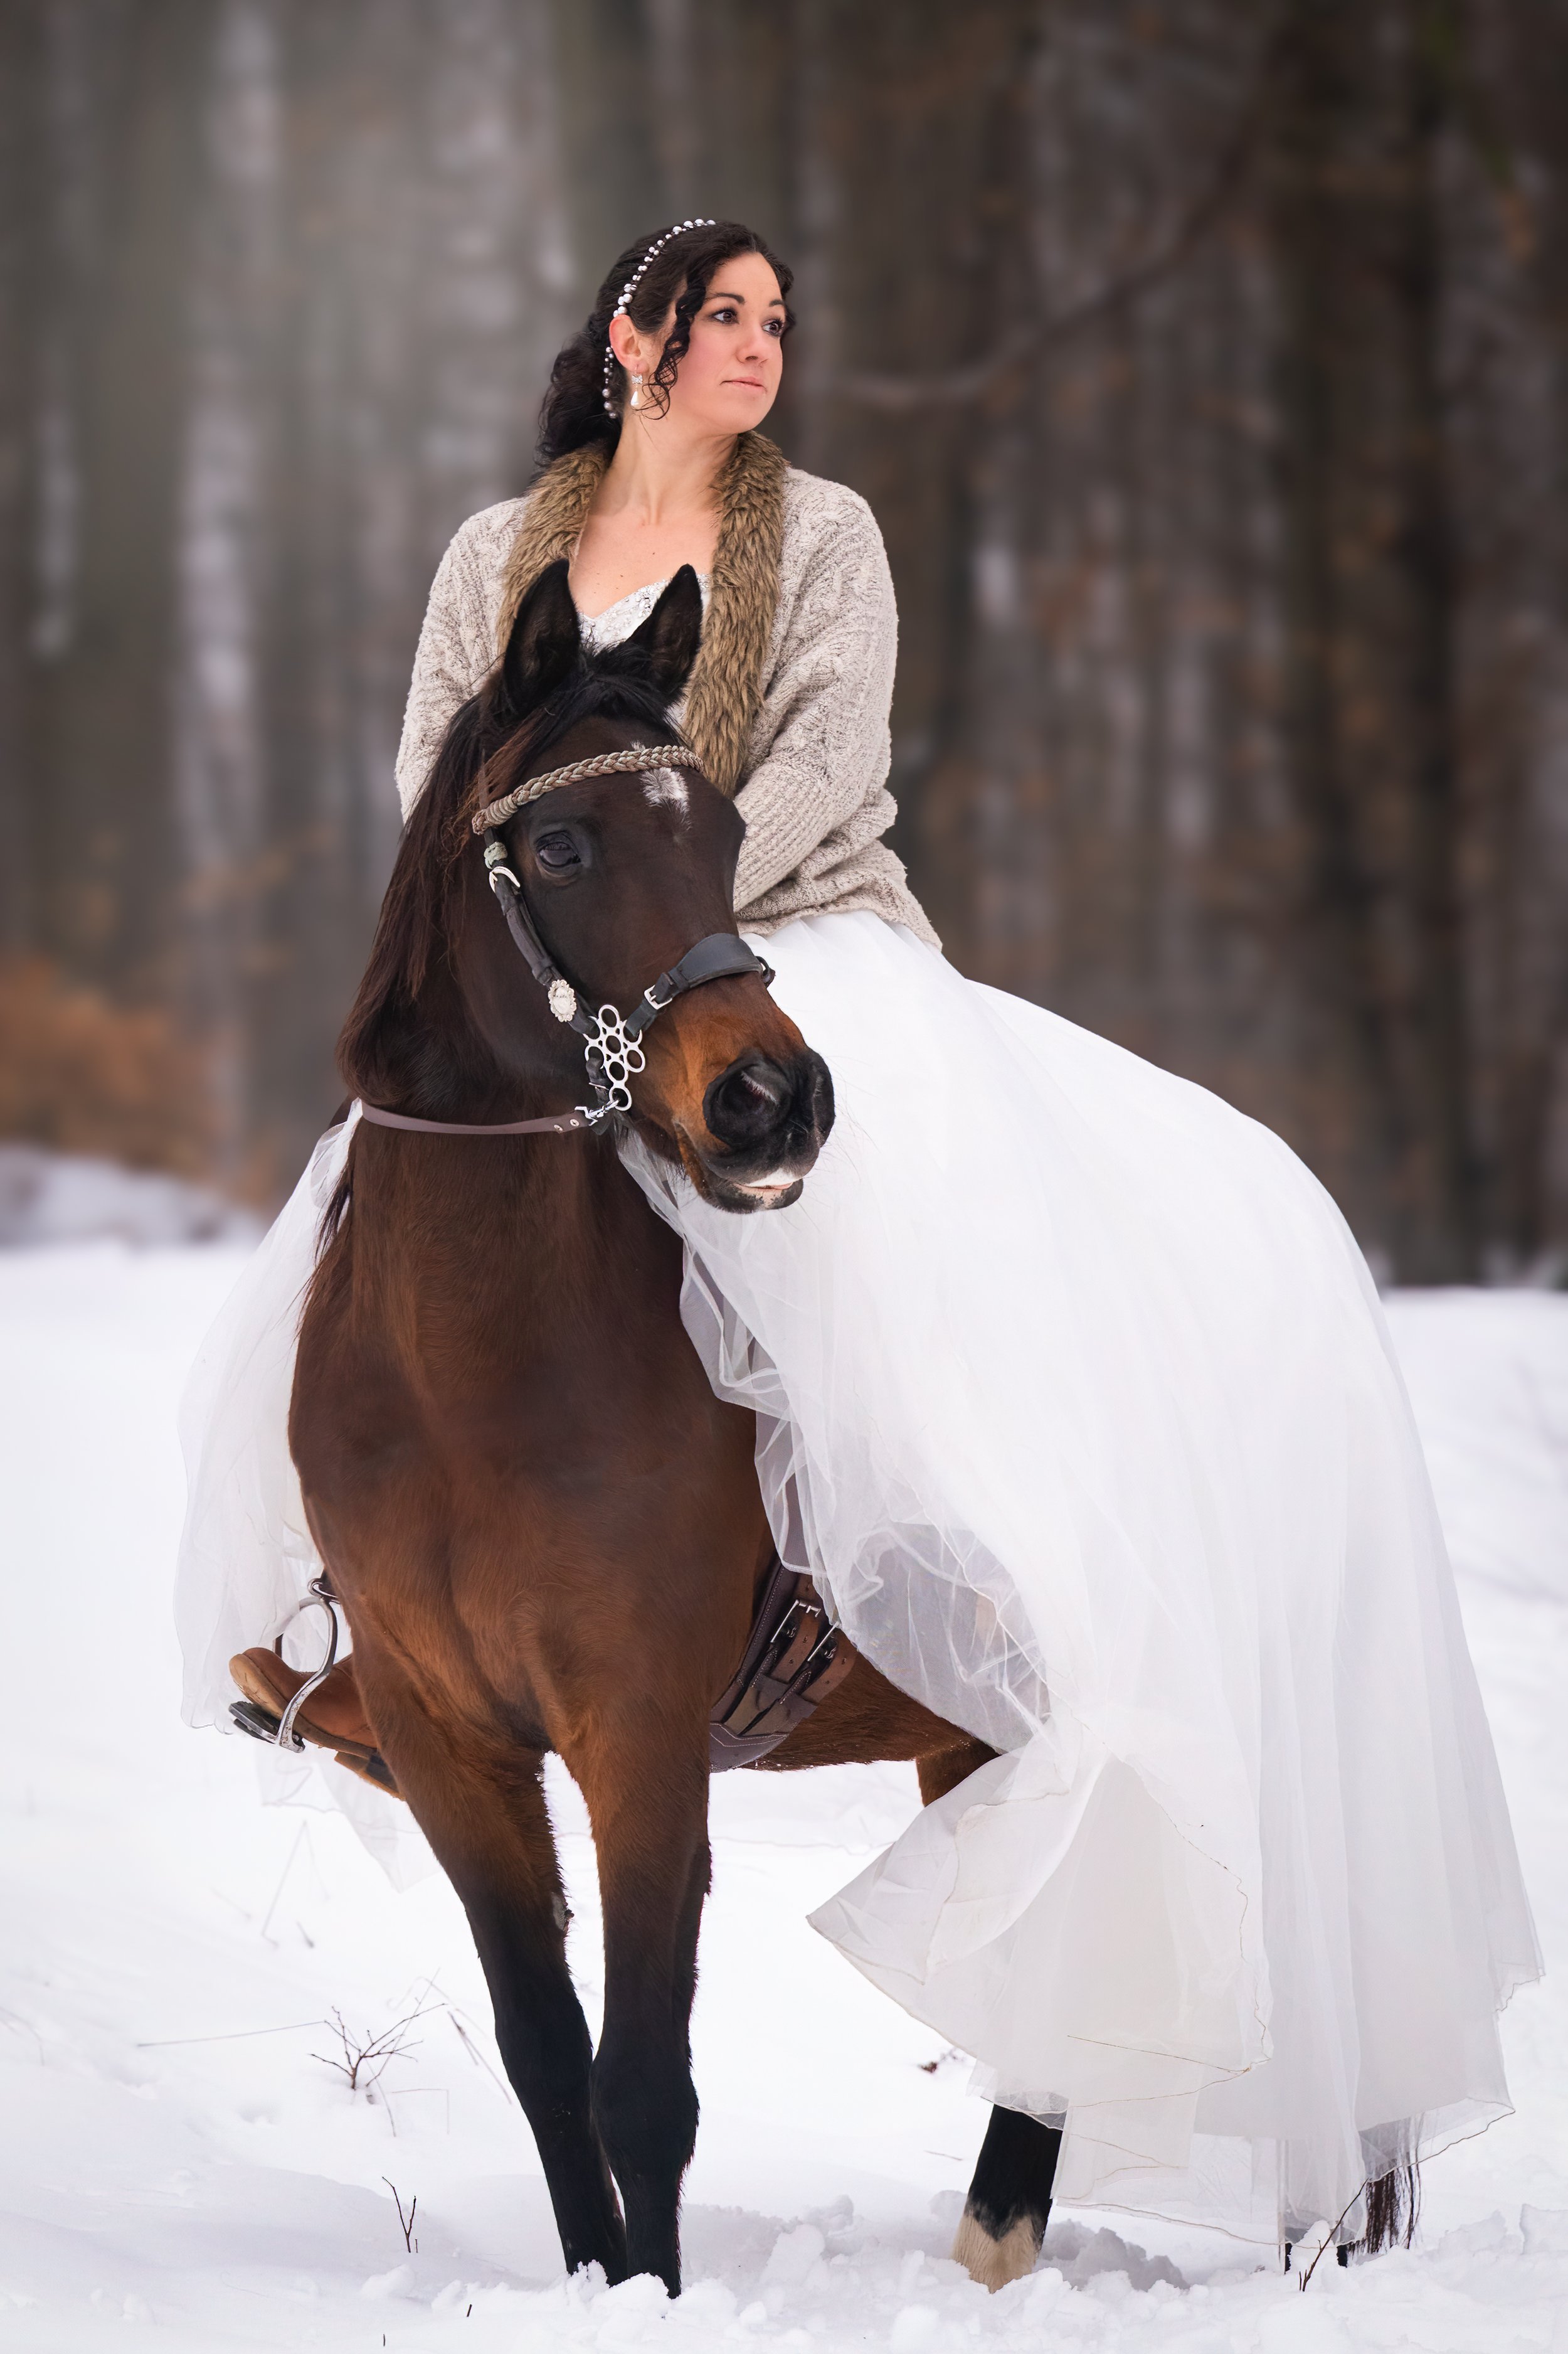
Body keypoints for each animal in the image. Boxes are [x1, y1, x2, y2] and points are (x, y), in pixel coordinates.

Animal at [286, 557, 1063, 2297]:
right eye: (564, 846)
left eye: (722, 834)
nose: (775, 1105)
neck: (469, 1376)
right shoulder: (449, 1743)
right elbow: (542, 2056)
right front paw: (596, 2283)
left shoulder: (640, 1738)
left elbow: (642, 2083)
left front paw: (651, 2298)